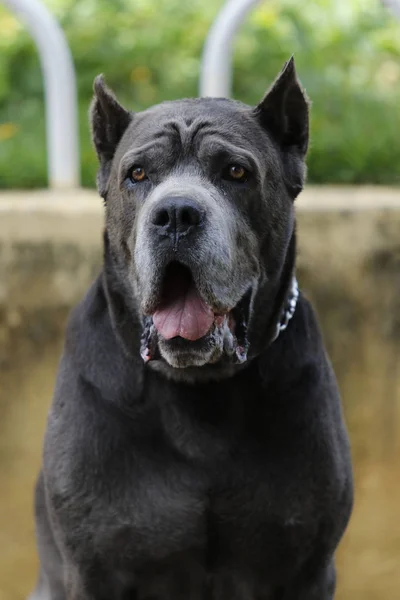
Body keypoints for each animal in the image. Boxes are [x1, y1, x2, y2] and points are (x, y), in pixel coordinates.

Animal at [29, 57, 352, 600]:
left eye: (236, 171)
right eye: (137, 173)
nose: (176, 214)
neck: (199, 390)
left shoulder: (305, 568)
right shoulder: (94, 570)